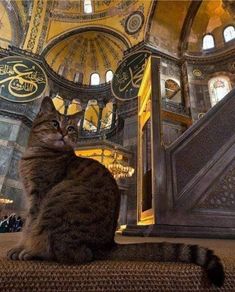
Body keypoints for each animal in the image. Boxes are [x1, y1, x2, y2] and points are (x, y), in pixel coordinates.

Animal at [7, 96, 224, 288]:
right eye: (54, 123)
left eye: (70, 128)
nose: (63, 134)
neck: (38, 152)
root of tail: (107, 244)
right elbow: (28, 224)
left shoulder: (40, 195)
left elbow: (30, 226)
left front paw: (23, 248)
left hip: (57, 200)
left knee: (73, 254)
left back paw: (35, 253)